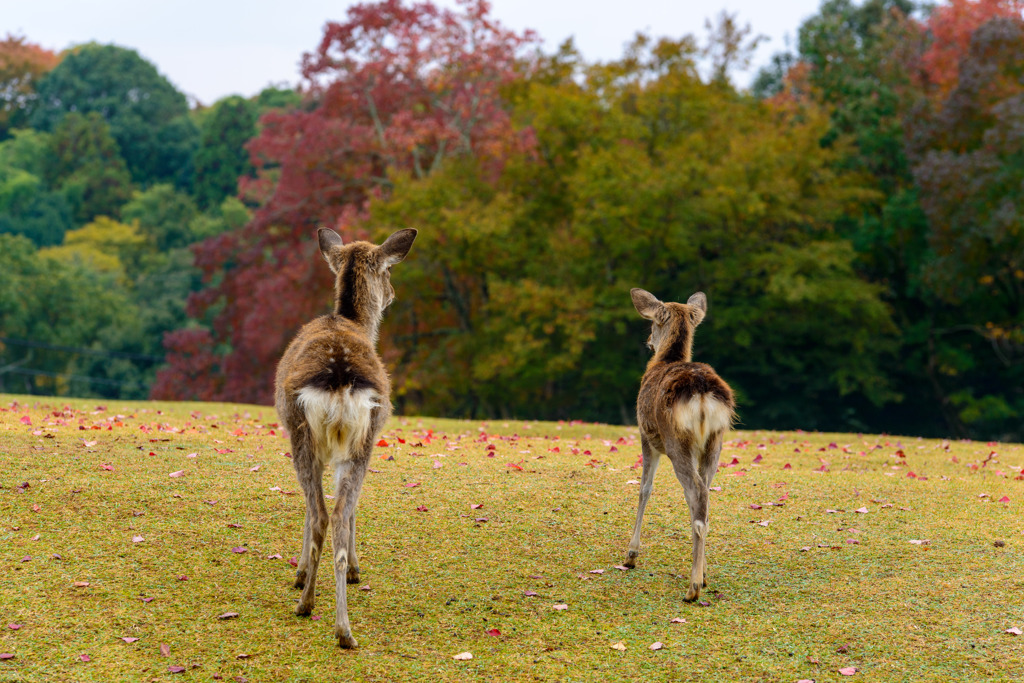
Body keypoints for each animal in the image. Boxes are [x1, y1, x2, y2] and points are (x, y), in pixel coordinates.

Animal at [276, 227, 415, 651]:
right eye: (389, 271)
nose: (392, 294)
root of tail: (339, 378)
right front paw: (350, 569)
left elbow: (314, 508)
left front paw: (304, 572)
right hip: (360, 438)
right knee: (335, 512)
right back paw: (340, 625)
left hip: (307, 435)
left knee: (325, 512)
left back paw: (314, 607)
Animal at [622, 288, 737, 602]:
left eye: (652, 323)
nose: (649, 342)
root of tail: (702, 393)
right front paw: (704, 568)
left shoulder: (645, 435)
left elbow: (644, 488)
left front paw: (631, 554)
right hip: (716, 440)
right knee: (704, 495)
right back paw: (701, 576)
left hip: (675, 441)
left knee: (696, 493)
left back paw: (692, 588)